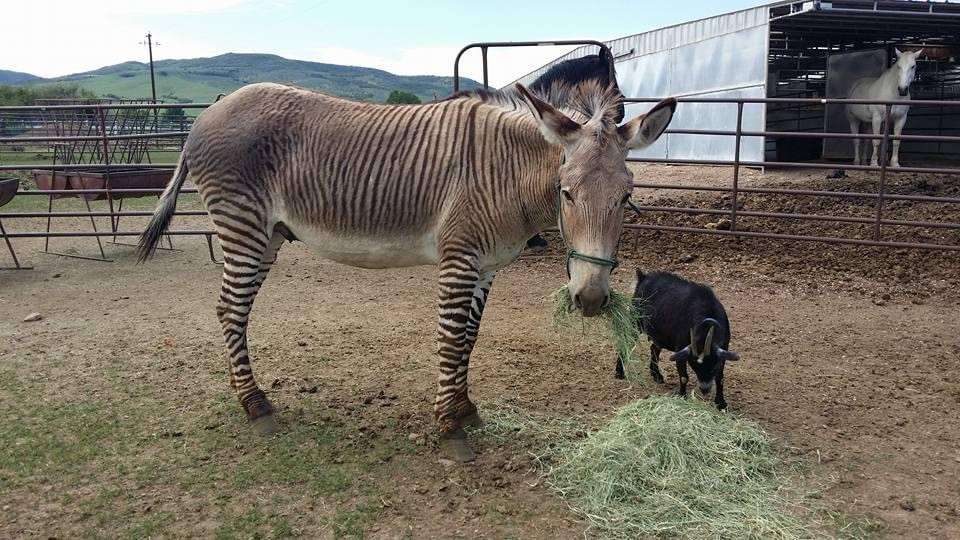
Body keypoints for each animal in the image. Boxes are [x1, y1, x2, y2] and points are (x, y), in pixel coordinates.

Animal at [138, 78, 675, 462]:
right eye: (566, 193)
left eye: (626, 197)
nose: (591, 299)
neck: (504, 171)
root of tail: (208, 114)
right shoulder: (459, 258)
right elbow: (451, 338)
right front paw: (450, 429)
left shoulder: (485, 266)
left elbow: (469, 339)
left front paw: (465, 409)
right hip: (242, 224)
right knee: (230, 309)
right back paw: (255, 406)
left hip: (268, 233)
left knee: (234, 308)